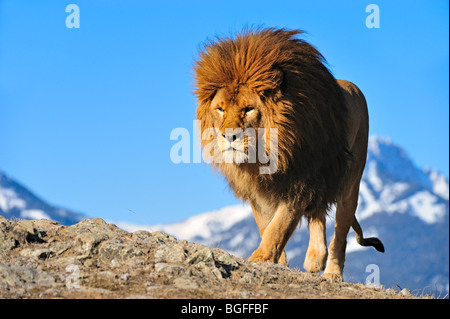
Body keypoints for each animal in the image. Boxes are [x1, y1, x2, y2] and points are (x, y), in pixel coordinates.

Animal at [192, 28, 382, 282]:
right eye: (220, 109)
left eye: (248, 109)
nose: (228, 136)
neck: (268, 152)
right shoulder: (257, 189)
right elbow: (265, 225)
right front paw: (277, 262)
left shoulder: (303, 180)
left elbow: (279, 224)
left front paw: (260, 259)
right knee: (318, 213)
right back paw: (315, 258)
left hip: (349, 182)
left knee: (340, 231)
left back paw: (332, 272)